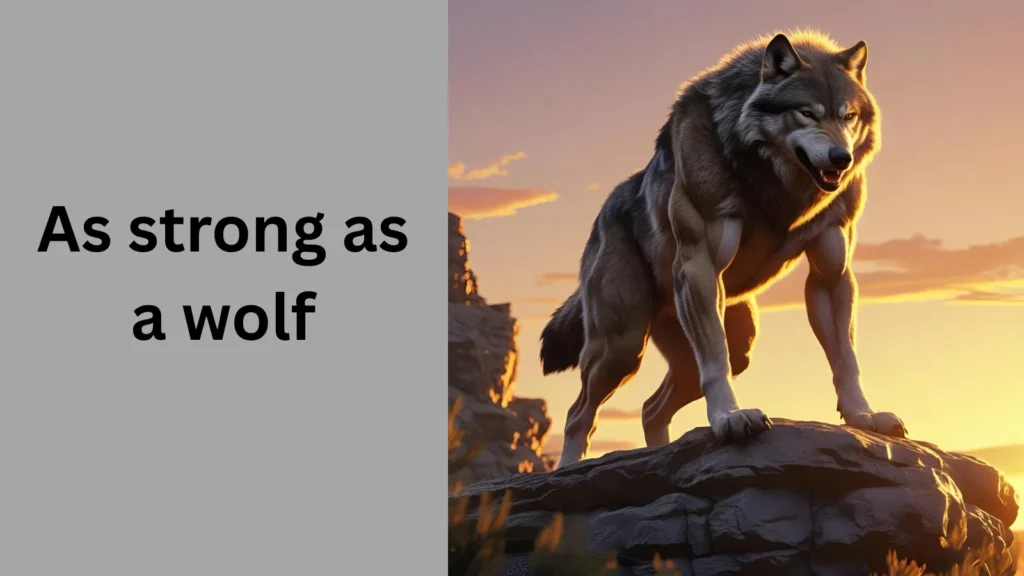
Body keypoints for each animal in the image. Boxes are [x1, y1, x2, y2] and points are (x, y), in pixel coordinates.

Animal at [540, 30, 907, 468]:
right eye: (807, 113)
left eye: (848, 116)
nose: (841, 158)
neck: (776, 183)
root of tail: (602, 215)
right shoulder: (699, 265)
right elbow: (715, 362)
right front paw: (729, 419)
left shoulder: (831, 272)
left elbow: (846, 359)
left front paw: (863, 416)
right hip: (622, 347)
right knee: (579, 414)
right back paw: (566, 470)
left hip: (734, 344)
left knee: (650, 408)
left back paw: (659, 454)